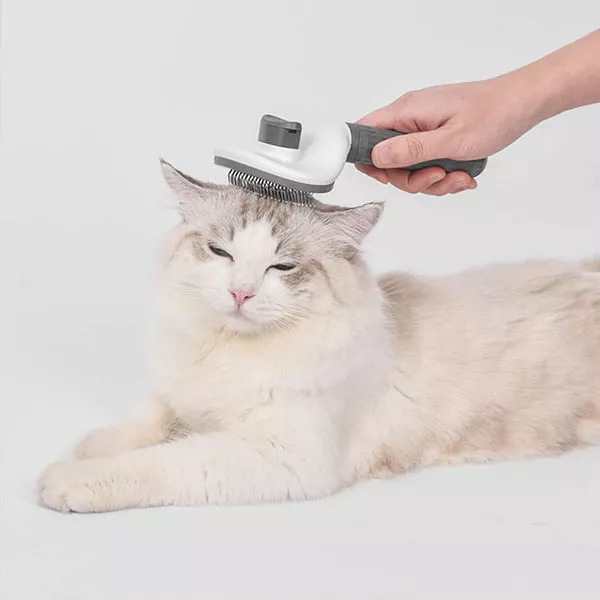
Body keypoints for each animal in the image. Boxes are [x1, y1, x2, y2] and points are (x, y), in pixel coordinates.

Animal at [38, 159, 600, 512]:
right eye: (221, 253)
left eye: (281, 267)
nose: (240, 293)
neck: (229, 352)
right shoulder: (182, 391)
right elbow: (148, 419)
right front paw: (92, 446)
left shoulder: (281, 455)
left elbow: (160, 460)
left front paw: (66, 479)